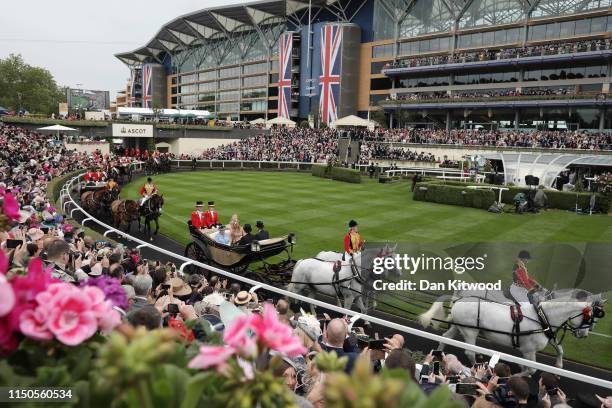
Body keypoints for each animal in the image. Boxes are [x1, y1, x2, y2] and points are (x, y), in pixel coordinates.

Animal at [418, 286, 604, 372]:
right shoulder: (529, 350)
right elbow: (531, 368)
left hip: (460, 327)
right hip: (470, 331)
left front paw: (558, 365)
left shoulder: (545, 338)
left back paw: (439, 355)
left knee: (446, 336)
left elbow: (559, 348)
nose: (584, 334)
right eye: (590, 318)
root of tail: (461, 298)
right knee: (469, 351)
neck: (541, 316)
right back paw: (478, 366)